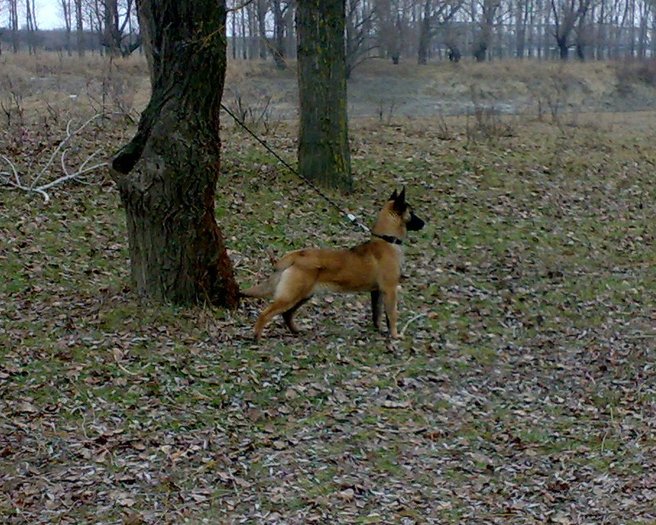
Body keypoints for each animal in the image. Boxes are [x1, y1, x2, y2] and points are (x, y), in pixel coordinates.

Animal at [242, 188, 426, 340]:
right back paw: (256, 337)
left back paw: (296, 331)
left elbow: (378, 314)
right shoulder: (390, 290)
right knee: (266, 314)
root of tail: (296, 255)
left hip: (304, 295)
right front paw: (395, 335)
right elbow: (392, 315)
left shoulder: (377, 292)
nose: (424, 223)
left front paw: (379, 330)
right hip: (292, 296)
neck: (387, 240)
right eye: (412, 212)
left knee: (286, 315)